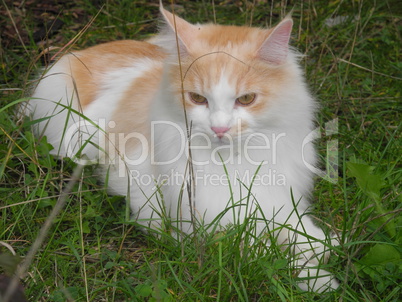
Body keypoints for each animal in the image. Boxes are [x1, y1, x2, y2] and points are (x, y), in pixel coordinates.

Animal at [25, 4, 340, 292]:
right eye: (198, 99)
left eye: (246, 99)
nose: (219, 129)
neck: (234, 161)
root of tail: (76, 55)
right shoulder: (205, 226)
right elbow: (261, 252)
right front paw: (318, 278)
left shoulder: (275, 196)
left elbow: (293, 226)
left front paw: (323, 244)